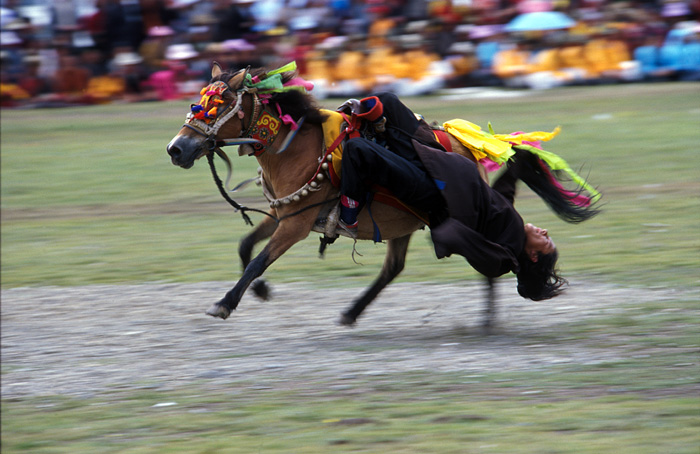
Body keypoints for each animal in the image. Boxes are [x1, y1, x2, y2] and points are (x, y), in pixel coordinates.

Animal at [167, 62, 600, 328]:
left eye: (217, 105)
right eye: (197, 102)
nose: (176, 149)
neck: (293, 148)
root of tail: (462, 143)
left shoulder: (297, 223)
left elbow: (258, 259)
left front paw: (225, 303)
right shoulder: (283, 214)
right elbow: (246, 248)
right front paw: (258, 291)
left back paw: (487, 320)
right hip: (405, 221)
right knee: (393, 268)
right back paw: (352, 312)